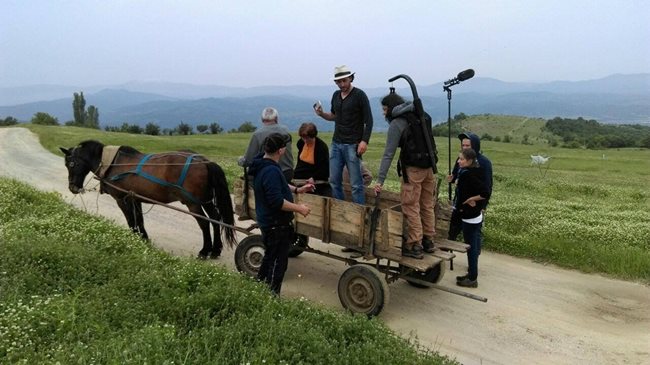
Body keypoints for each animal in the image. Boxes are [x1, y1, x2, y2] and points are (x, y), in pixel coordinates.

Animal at [59, 140, 237, 258]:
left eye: (71, 164)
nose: (72, 188)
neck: (112, 164)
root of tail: (204, 161)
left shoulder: (121, 199)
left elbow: (131, 220)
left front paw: (133, 239)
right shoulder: (135, 198)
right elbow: (139, 219)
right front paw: (143, 238)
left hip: (193, 202)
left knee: (204, 223)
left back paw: (205, 250)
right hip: (205, 200)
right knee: (215, 219)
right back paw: (215, 250)